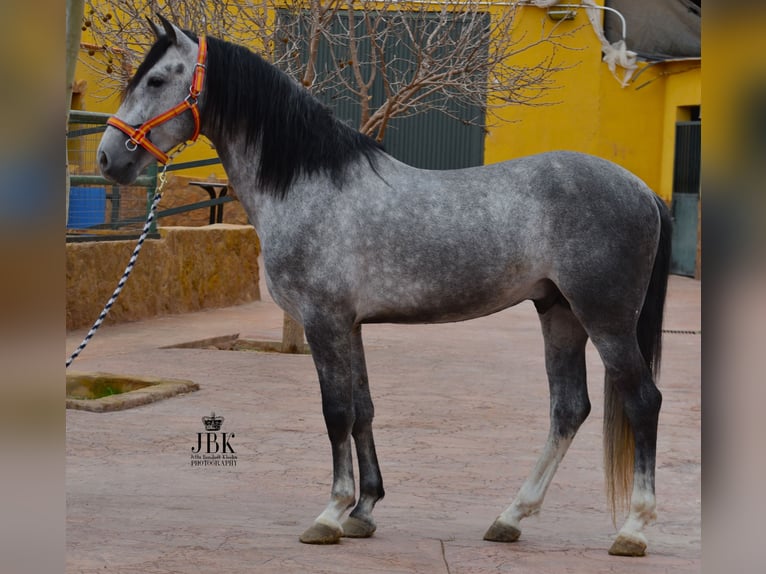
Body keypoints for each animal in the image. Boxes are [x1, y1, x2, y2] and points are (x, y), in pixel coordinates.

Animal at [96, 18, 672, 560]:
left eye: (155, 78)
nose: (107, 159)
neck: (310, 185)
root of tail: (643, 189)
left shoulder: (324, 321)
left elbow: (337, 414)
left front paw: (331, 514)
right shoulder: (349, 325)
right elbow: (363, 410)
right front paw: (364, 510)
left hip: (605, 319)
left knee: (643, 400)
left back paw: (634, 529)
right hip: (560, 314)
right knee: (568, 409)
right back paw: (511, 517)